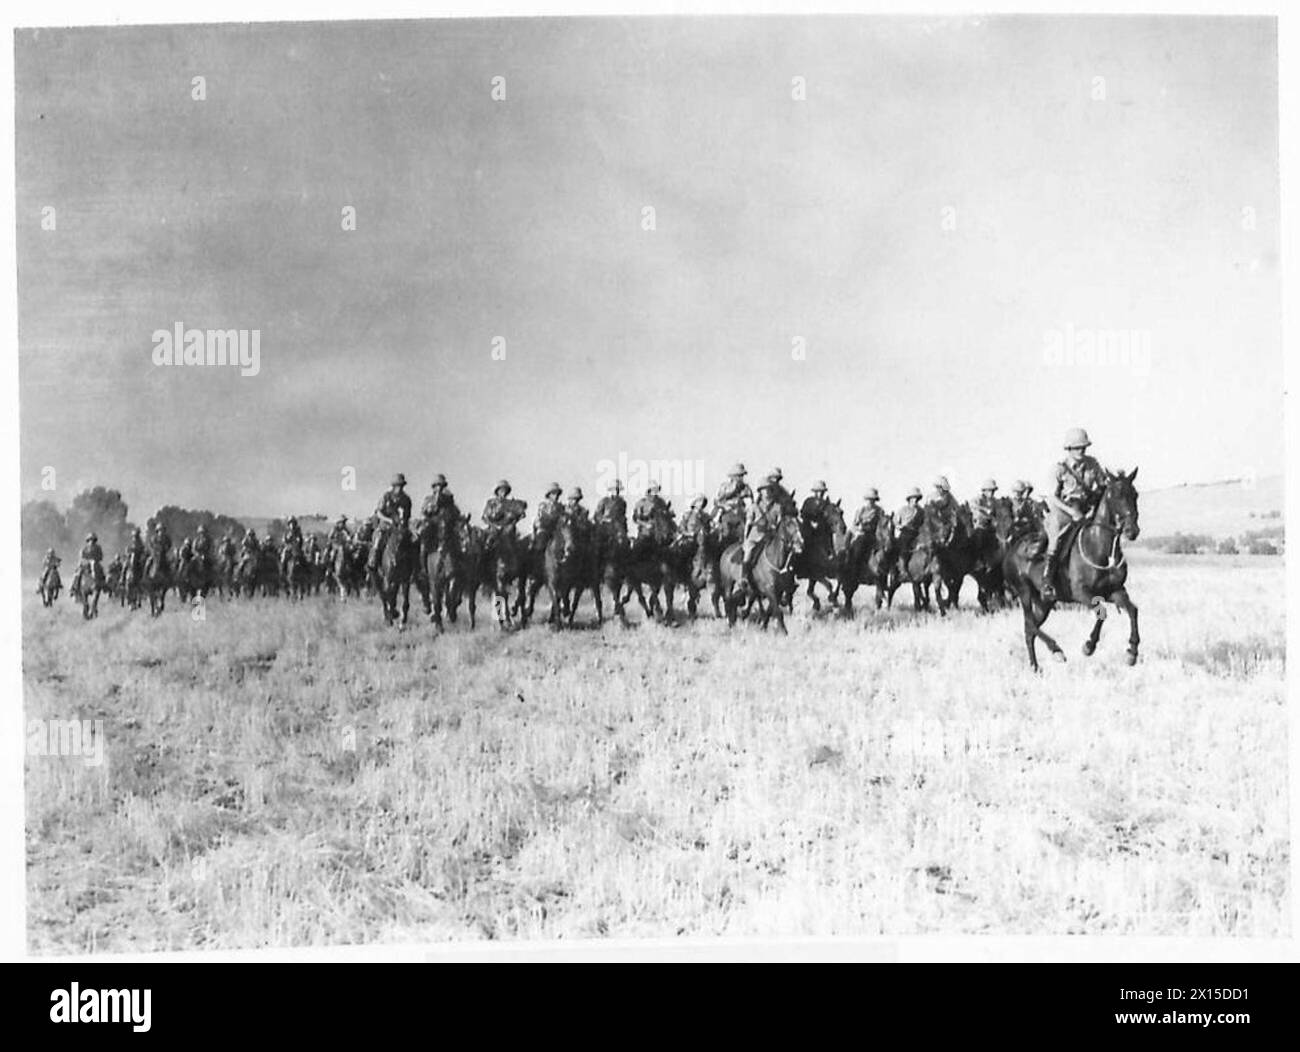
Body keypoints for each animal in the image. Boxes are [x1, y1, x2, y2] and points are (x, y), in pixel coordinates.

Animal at [998, 470, 1144, 670]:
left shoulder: (1115, 591)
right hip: (1024, 593)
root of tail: (1011, 550)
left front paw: (1132, 652)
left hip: (1044, 602)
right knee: (1029, 624)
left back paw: (1036, 667)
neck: (1098, 546)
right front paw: (1089, 646)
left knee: (1029, 630)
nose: (1132, 530)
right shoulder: (1082, 593)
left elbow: (1132, 611)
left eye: (1135, 494)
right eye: (1115, 495)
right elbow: (1102, 613)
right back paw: (1056, 650)